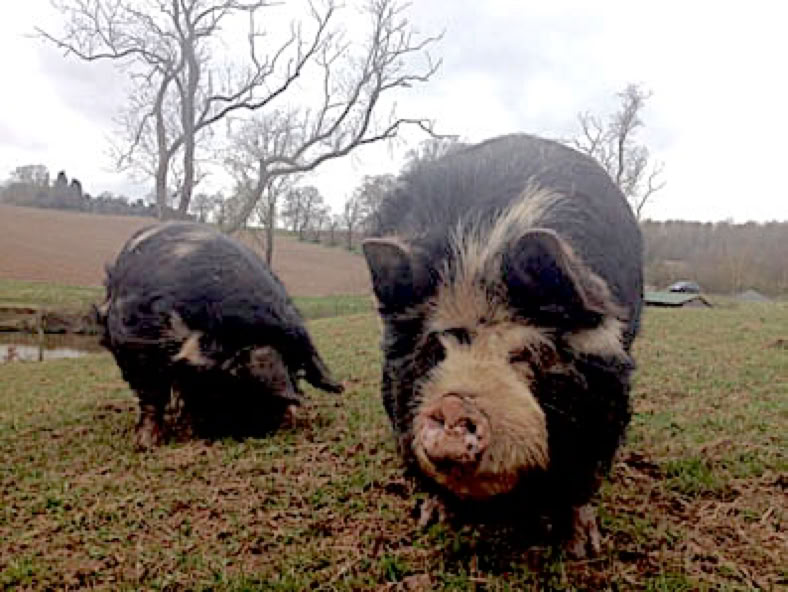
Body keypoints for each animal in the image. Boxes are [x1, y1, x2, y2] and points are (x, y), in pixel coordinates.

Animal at [362, 134, 643, 557]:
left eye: (525, 353)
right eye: (436, 349)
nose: (453, 404)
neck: (480, 250)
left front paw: (582, 548)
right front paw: (432, 519)